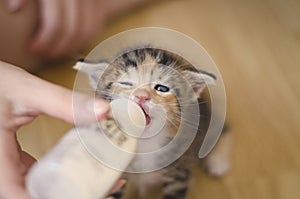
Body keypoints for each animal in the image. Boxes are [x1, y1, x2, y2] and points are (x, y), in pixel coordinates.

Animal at [75, 47, 230, 198]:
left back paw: (218, 162)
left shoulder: (179, 174)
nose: (141, 96)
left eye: (162, 88)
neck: (144, 143)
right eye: (125, 83)